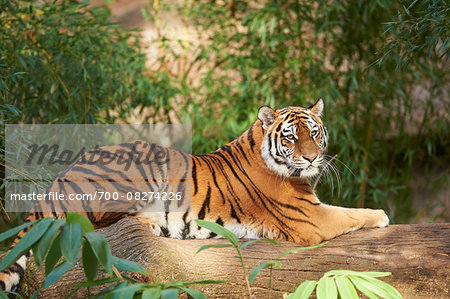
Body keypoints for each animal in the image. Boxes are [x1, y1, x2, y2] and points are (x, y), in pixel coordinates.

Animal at [0, 99, 388, 292]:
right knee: (87, 224)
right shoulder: (312, 216)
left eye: (314, 132)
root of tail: (59, 178)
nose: (311, 158)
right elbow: (354, 212)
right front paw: (382, 215)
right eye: (291, 137)